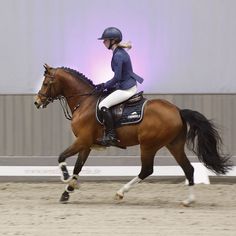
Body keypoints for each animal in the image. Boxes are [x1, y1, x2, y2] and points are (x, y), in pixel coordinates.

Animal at [34, 64, 231, 205]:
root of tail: (178, 110)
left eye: (46, 83)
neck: (84, 102)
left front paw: (65, 179)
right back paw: (189, 200)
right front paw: (67, 192)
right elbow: (78, 167)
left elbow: (62, 157)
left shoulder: (82, 141)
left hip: (148, 145)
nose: (37, 102)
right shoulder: (86, 144)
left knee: (147, 170)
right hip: (174, 145)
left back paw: (120, 193)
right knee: (188, 169)